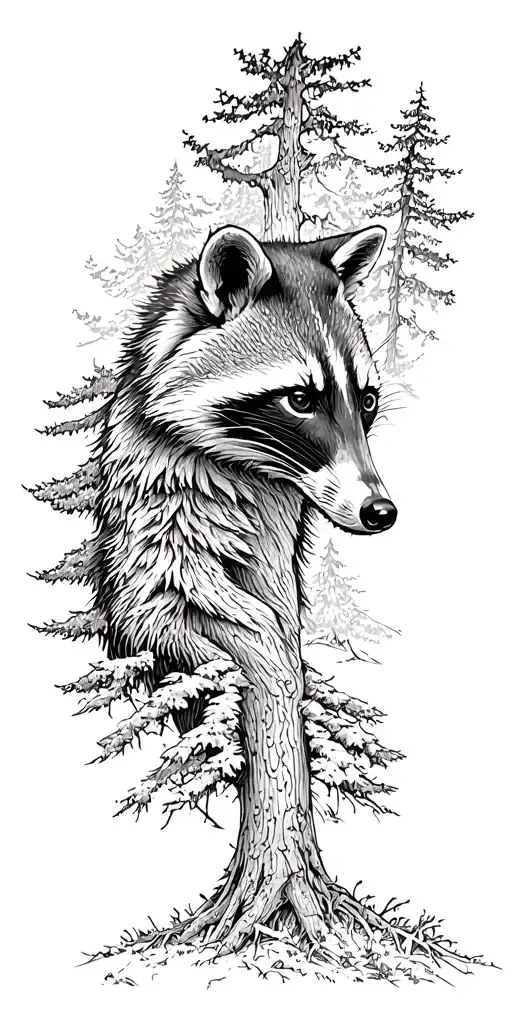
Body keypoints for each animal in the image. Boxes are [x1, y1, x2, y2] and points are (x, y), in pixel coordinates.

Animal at [94, 225, 396, 709]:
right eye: (300, 400)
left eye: (366, 400)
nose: (380, 511)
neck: (253, 469)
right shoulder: (164, 514)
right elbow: (163, 607)